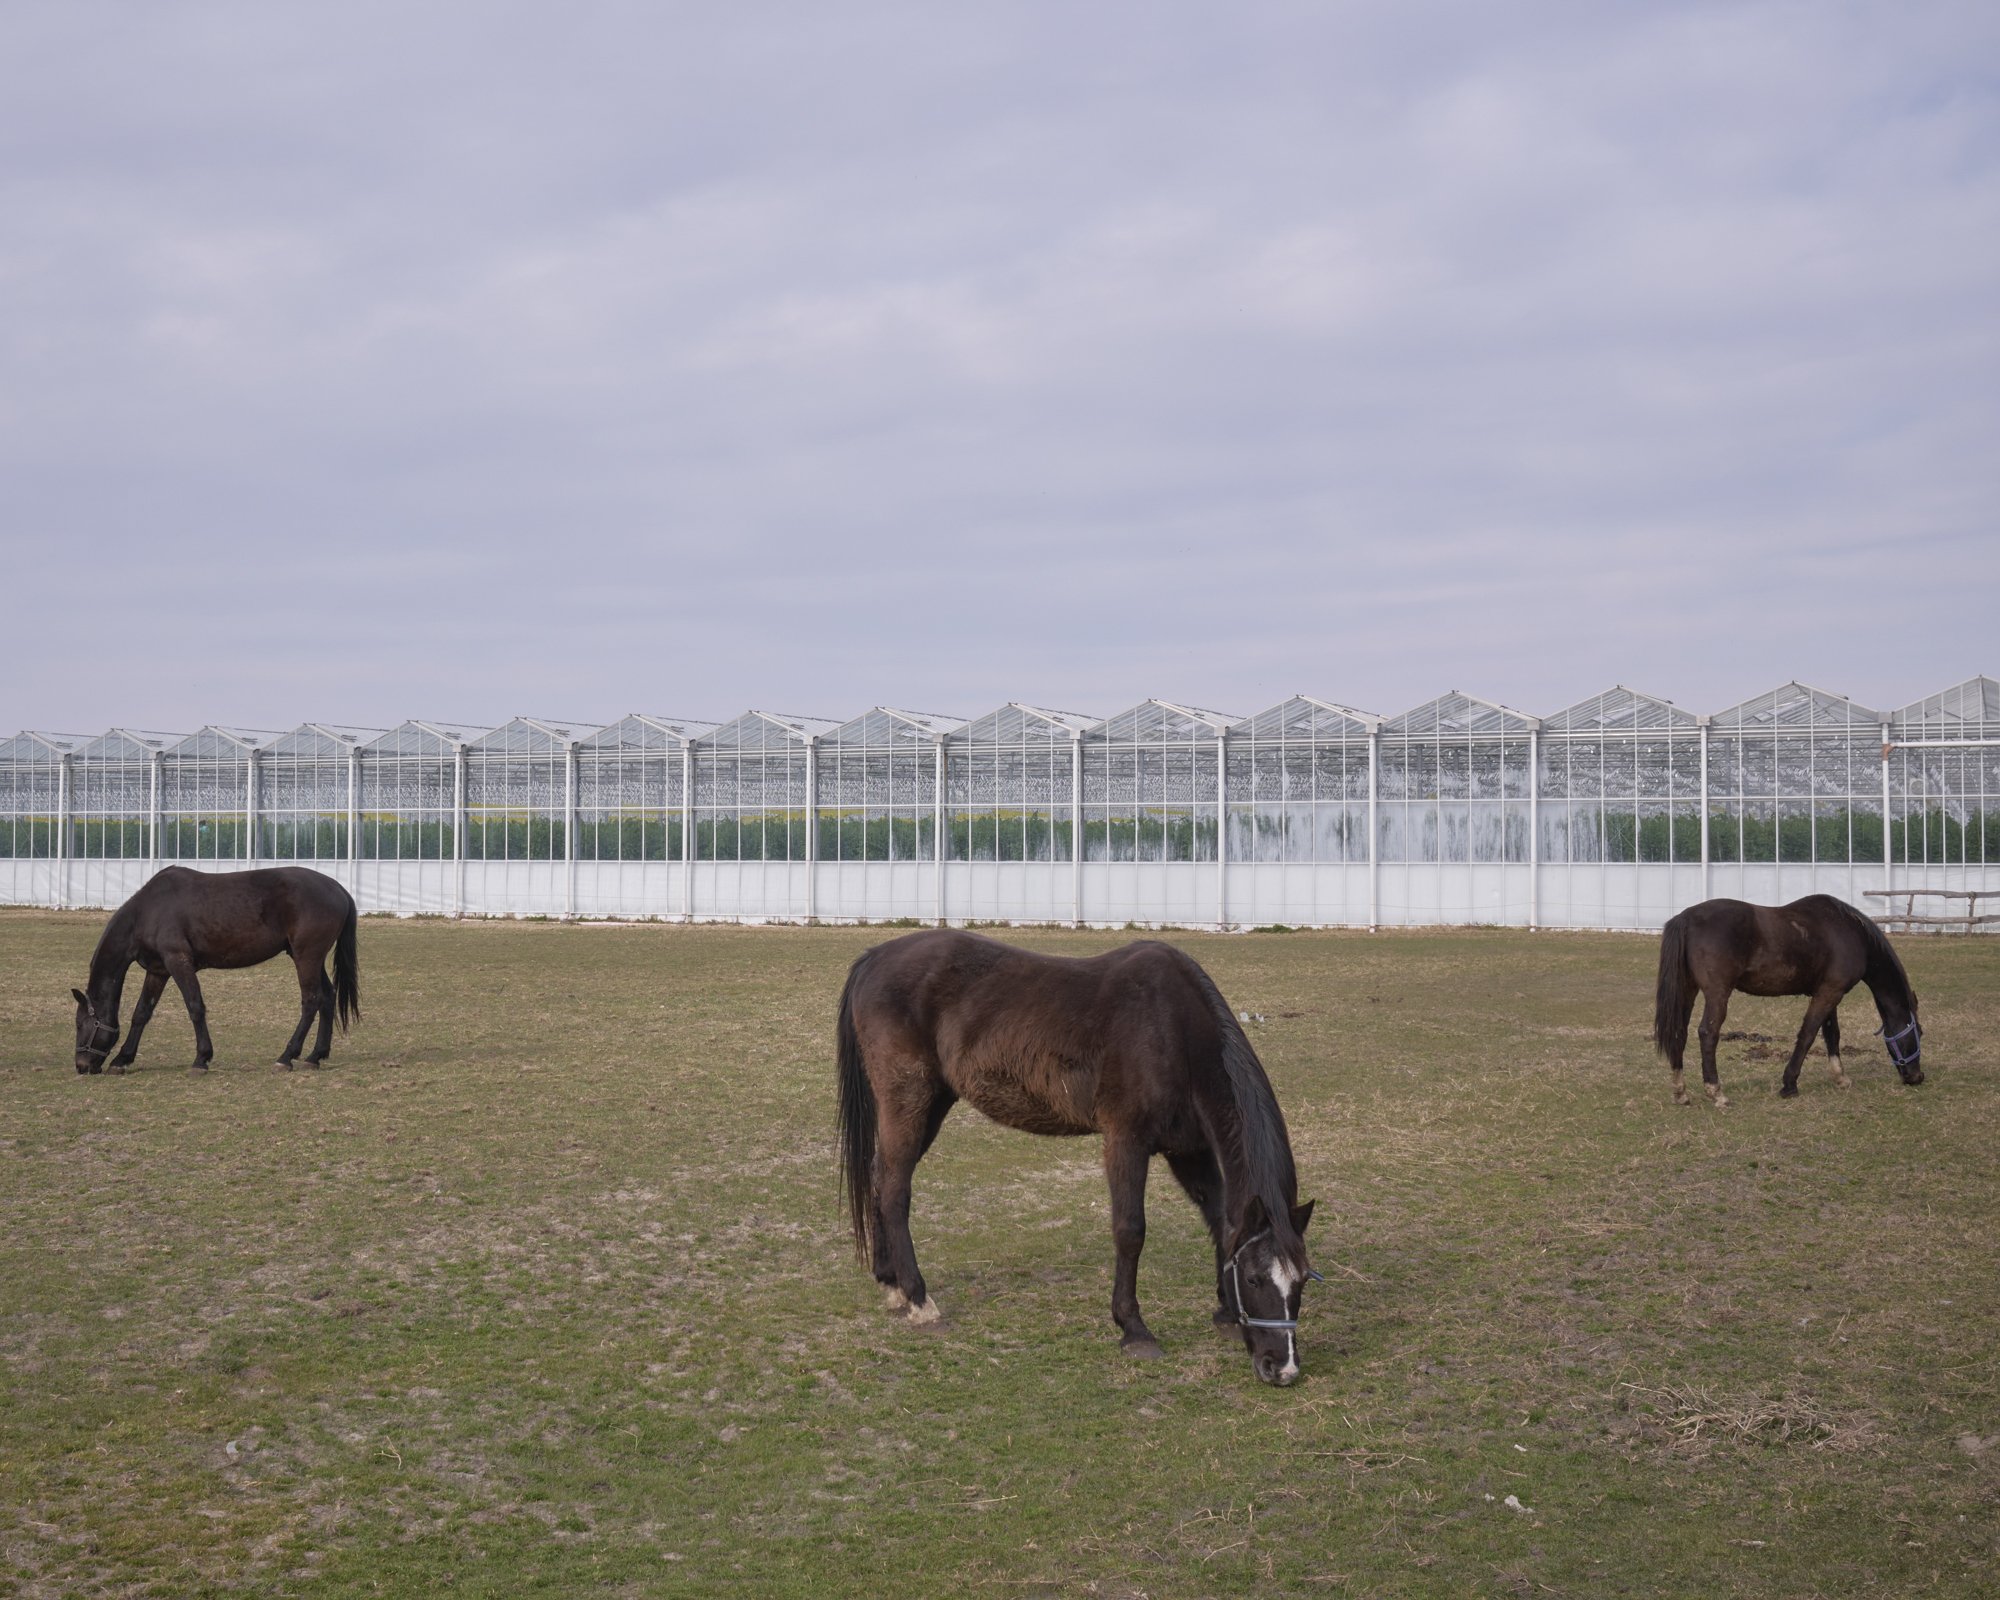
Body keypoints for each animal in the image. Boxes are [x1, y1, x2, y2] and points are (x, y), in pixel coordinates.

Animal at [72, 864, 362, 1072]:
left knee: (311, 1001)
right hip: (309, 957)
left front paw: (201, 1058)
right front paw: (122, 1059)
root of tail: (337, 888)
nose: (81, 1066)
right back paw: (315, 1055)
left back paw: (287, 1056)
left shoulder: (178, 961)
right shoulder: (158, 970)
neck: (147, 911)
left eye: (79, 1024)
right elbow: (142, 1013)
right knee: (327, 998)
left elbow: (195, 1007)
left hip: (306, 957)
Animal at [836, 924, 1320, 1384]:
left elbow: (1220, 1222)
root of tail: (874, 957)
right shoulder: (1126, 1140)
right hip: (909, 1098)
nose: (1282, 1368)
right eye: (1255, 1278)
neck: (1175, 1031)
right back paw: (918, 1297)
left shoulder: (1189, 1150)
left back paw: (890, 1281)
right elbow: (1130, 1231)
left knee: (881, 1176)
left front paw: (1223, 1311)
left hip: (934, 1101)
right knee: (895, 1189)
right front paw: (1134, 1329)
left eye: (1300, 1282)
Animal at [1656, 892, 1920, 1104]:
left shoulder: (1828, 992)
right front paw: (1790, 1084)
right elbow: (1808, 1035)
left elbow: (1831, 1034)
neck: (1851, 932)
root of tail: (1686, 918)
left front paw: (1840, 1077)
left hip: (1688, 989)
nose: (1917, 1077)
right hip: (1717, 993)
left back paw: (1680, 1092)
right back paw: (1716, 1092)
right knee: (1708, 1034)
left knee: (1679, 1033)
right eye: (1919, 1032)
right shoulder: (1830, 992)